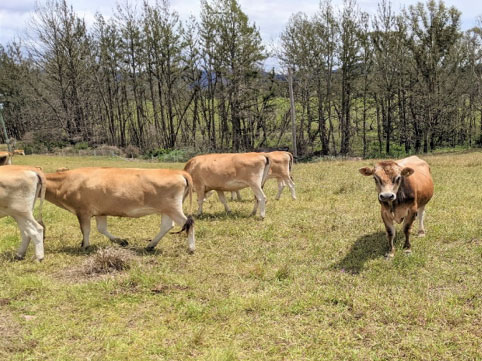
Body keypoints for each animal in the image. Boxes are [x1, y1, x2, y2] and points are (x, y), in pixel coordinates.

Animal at [45, 167, 196, 252]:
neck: (65, 181)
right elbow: (102, 228)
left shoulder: (83, 211)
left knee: (188, 222)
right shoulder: (100, 212)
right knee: (167, 226)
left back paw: (191, 248)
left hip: (173, 208)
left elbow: (86, 230)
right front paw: (121, 241)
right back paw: (150, 245)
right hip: (166, 210)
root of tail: (178, 172)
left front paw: (85, 246)